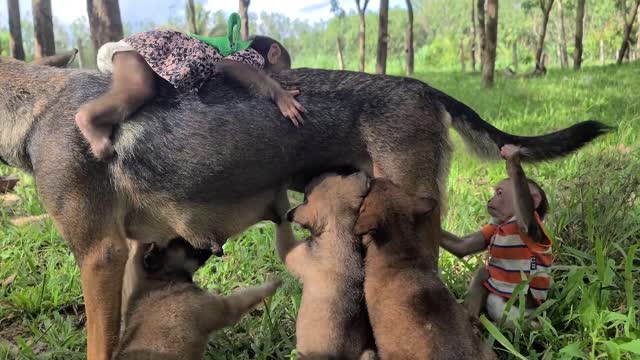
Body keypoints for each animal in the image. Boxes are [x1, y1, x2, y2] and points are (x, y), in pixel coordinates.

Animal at [442, 145, 552, 324]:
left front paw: (513, 161)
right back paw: (473, 319)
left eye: (499, 193)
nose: (489, 200)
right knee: (484, 274)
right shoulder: (493, 226)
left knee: (486, 273)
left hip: (520, 301)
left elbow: (525, 215)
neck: (506, 222)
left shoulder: (531, 224)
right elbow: (463, 247)